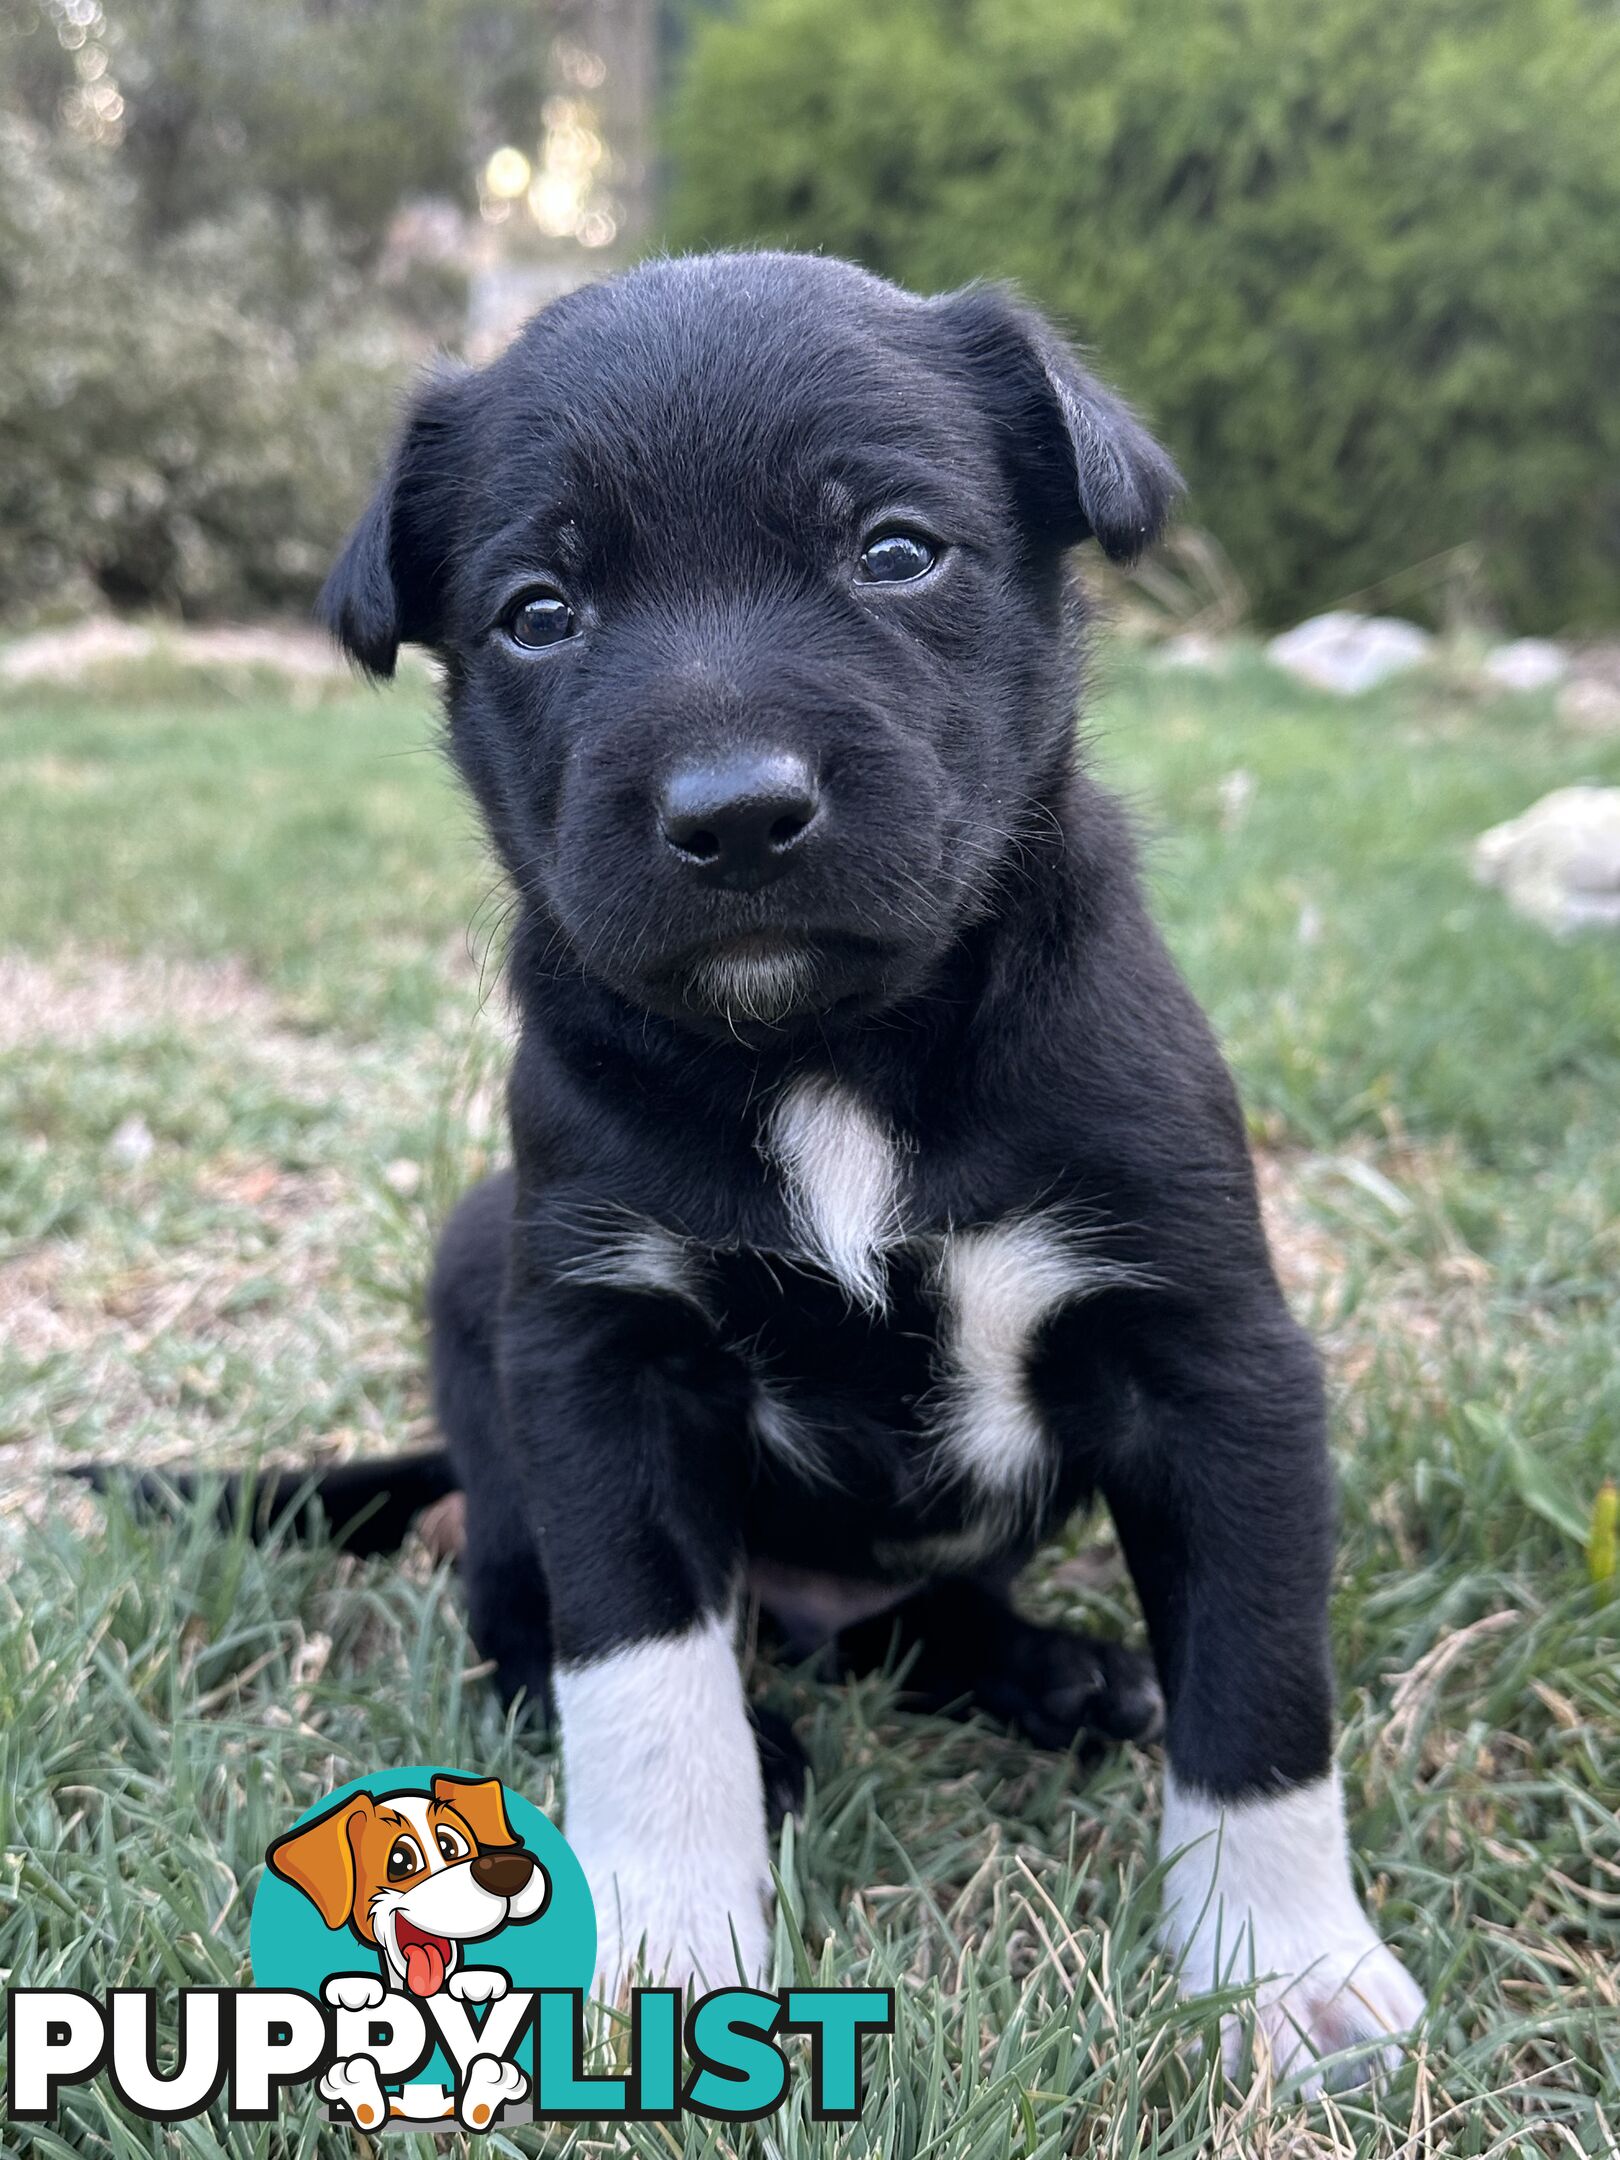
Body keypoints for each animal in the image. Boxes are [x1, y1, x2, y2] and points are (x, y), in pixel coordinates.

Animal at [302, 252, 1416, 2090]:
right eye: (539, 612)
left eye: (895, 550)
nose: (733, 812)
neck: (827, 1054)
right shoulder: (602, 1358)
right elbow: (641, 1680)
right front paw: (671, 1939)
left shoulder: (1215, 1360)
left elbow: (1263, 1694)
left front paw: (1287, 1969)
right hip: (483, 1277)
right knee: (516, 1601)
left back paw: (1054, 1676)